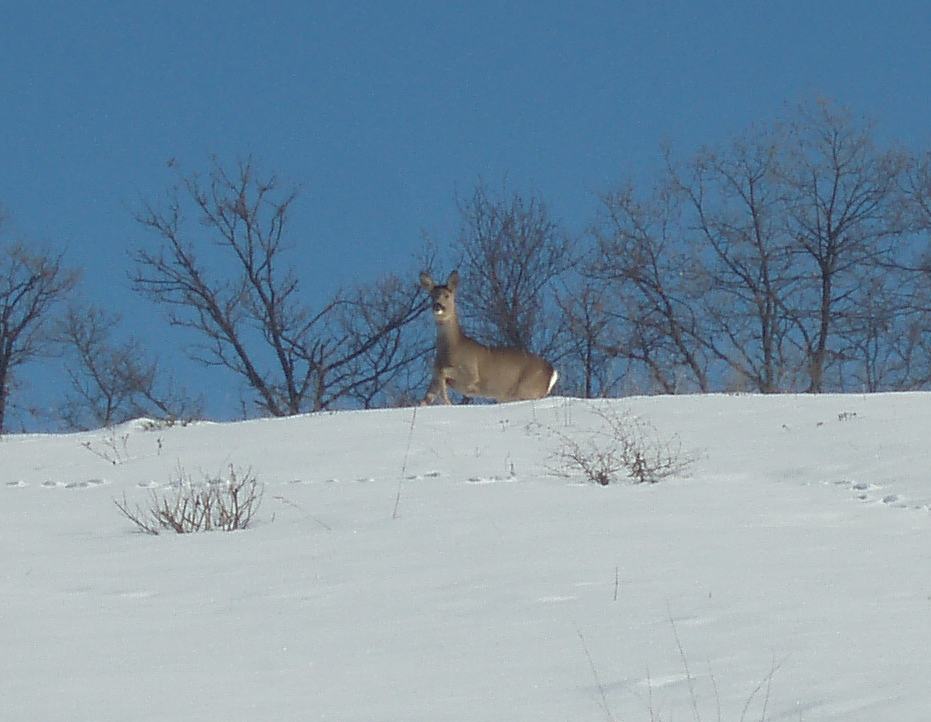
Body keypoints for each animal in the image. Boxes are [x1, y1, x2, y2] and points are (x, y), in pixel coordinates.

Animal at [418, 272, 556, 404]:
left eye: (447, 295)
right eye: (431, 296)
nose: (437, 306)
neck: (453, 346)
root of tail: (553, 372)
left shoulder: (471, 374)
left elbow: (443, 373)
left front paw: (448, 402)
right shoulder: (435, 377)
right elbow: (425, 399)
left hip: (527, 390)